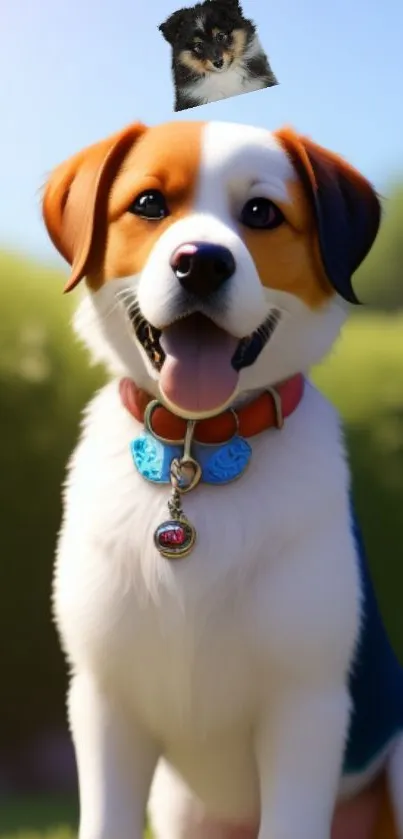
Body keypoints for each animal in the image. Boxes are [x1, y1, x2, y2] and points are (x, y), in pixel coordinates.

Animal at [41, 120, 403, 839]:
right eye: (149, 203)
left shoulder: (306, 707)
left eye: (261, 212)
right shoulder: (103, 703)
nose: (201, 262)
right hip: (178, 805)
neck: (196, 446)